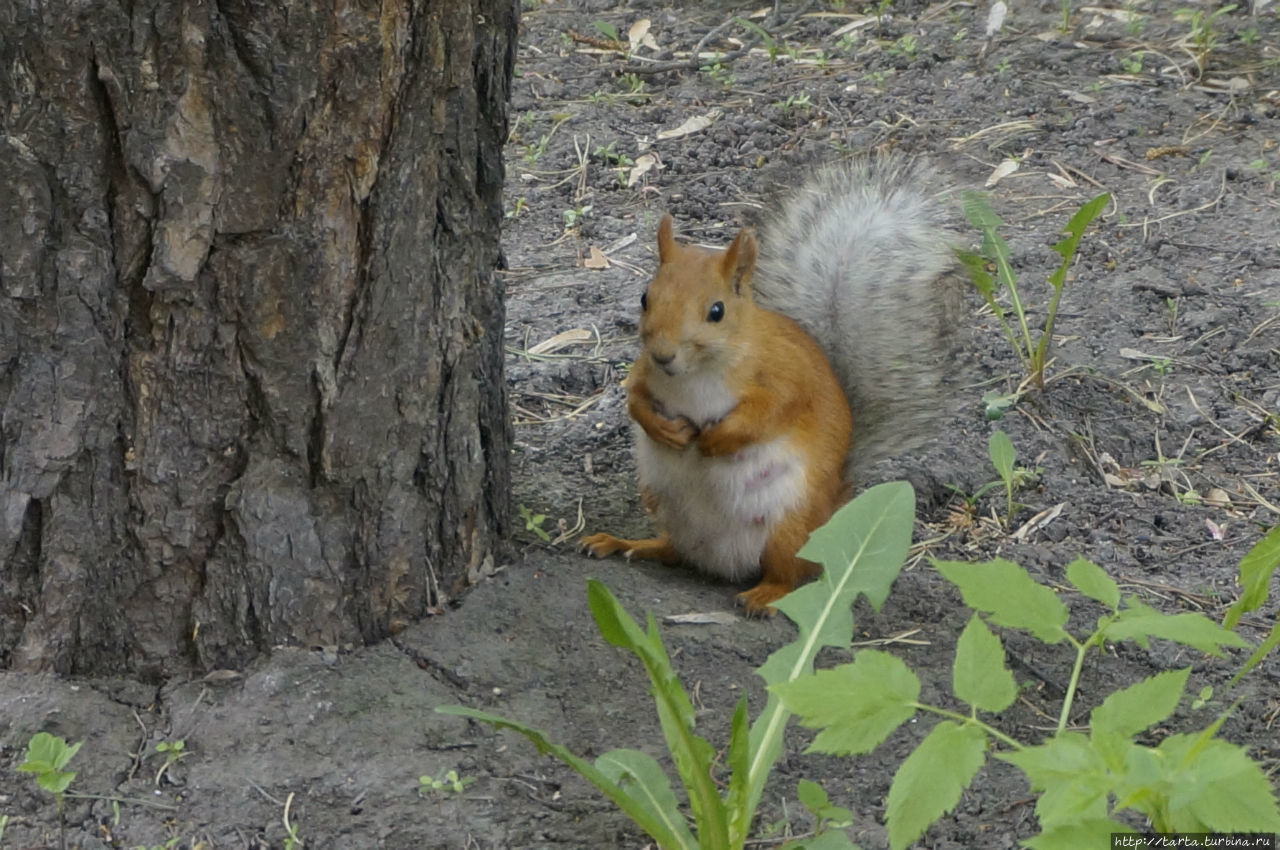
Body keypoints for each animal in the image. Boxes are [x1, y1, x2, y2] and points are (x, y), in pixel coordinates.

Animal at [583, 156, 962, 614]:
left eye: (716, 311)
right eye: (644, 297)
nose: (663, 354)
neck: (694, 375)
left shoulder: (786, 377)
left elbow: (767, 415)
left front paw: (715, 441)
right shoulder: (645, 374)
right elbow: (635, 400)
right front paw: (664, 430)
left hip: (788, 525)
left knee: (789, 573)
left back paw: (764, 596)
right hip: (663, 503)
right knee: (674, 551)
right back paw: (628, 543)